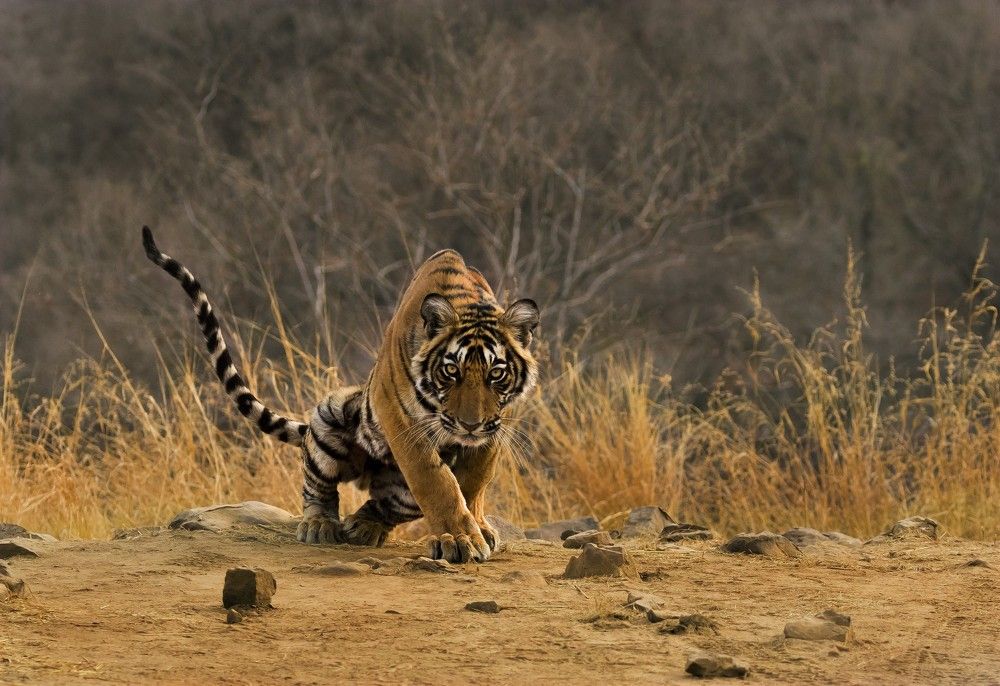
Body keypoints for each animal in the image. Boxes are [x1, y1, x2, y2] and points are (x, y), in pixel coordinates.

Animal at [141, 227, 539, 562]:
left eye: (496, 374)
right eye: (451, 371)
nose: (469, 425)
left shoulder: (496, 428)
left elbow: (473, 482)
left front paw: (476, 529)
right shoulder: (399, 416)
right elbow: (436, 482)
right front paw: (461, 540)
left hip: (399, 488)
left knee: (383, 505)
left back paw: (363, 526)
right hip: (329, 416)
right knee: (318, 488)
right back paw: (320, 526)